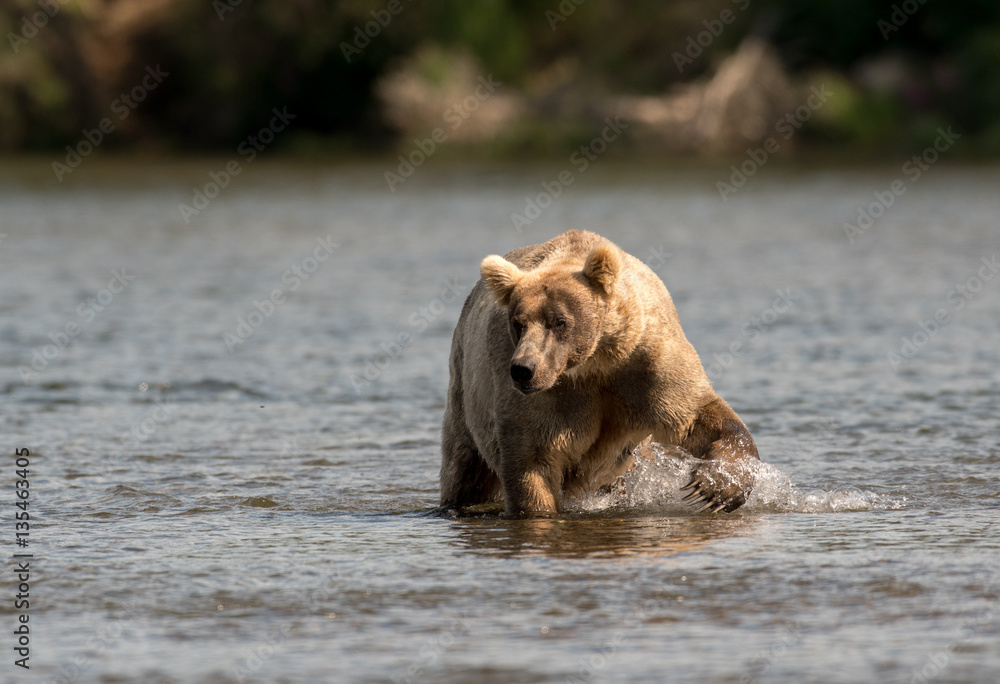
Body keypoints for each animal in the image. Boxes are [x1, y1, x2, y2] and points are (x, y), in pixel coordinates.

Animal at [440, 229, 760, 517]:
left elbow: (698, 414)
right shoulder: (542, 397)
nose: (523, 369)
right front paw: (538, 510)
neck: (594, 363)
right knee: (464, 467)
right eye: (518, 322)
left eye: (559, 321)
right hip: (465, 394)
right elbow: (532, 460)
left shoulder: (646, 364)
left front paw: (716, 486)